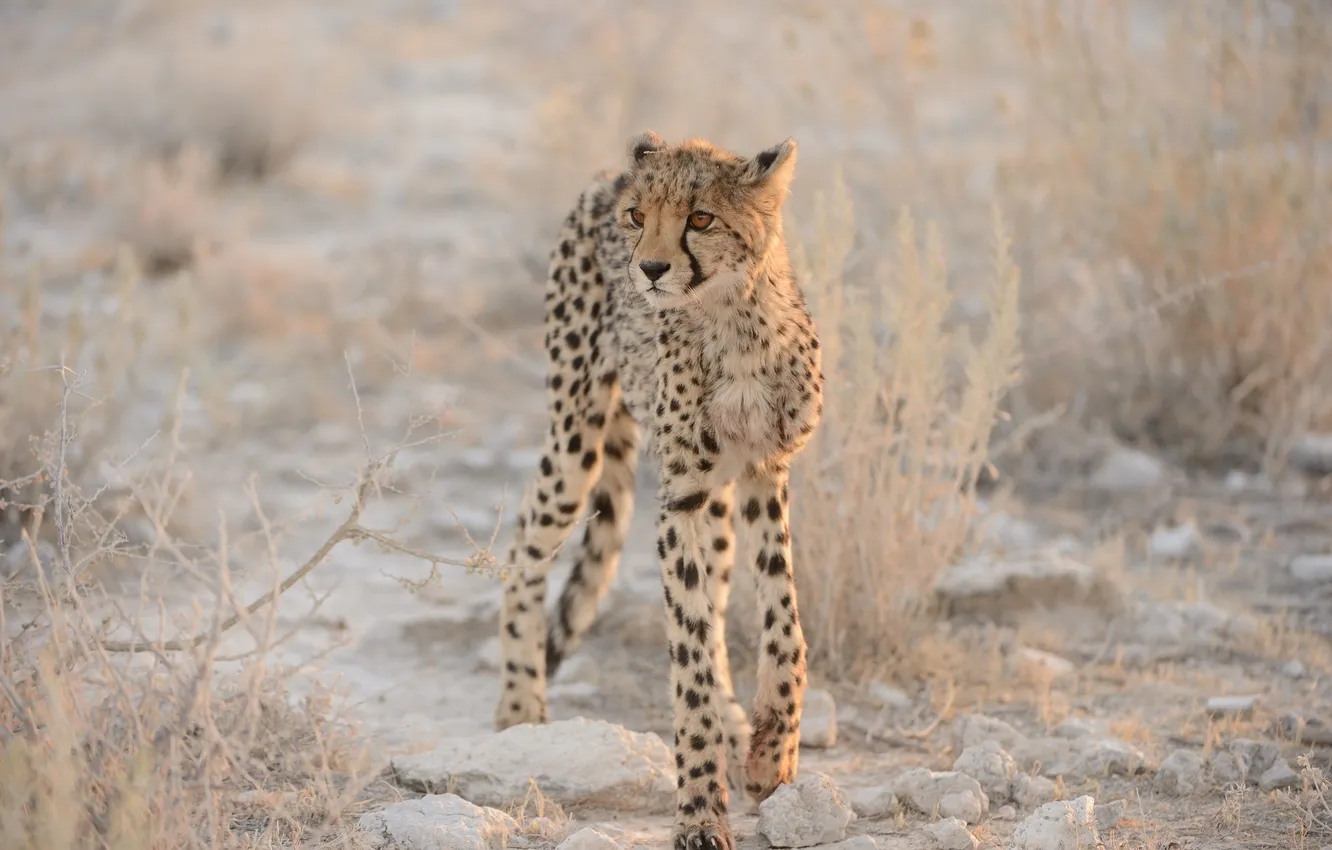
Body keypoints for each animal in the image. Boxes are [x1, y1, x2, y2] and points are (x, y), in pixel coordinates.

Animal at [494, 130, 824, 850]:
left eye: (700, 218)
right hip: (575, 436)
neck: (733, 322)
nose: (647, 270)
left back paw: (738, 726)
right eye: (638, 217)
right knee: (525, 541)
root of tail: (610, 171)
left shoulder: (764, 472)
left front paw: (771, 754)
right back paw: (519, 705)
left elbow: (784, 626)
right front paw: (700, 810)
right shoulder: (682, 499)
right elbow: (688, 660)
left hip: (715, 499)